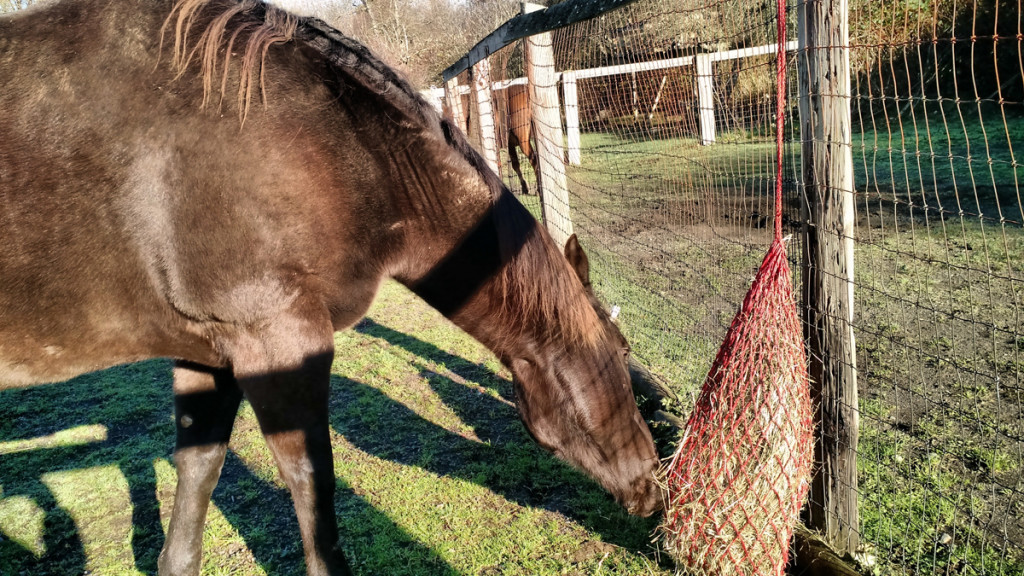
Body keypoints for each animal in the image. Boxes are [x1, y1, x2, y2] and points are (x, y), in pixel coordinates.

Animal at [0, 1, 655, 573]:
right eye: (623, 355)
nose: (652, 478)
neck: (335, 151)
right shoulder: (280, 343)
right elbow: (314, 495)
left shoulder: (207, 353)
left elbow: (197, 477)